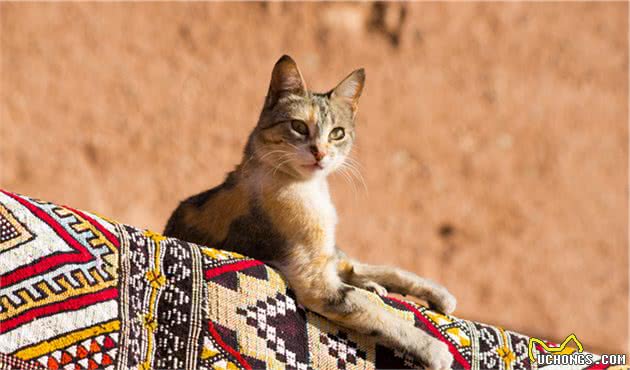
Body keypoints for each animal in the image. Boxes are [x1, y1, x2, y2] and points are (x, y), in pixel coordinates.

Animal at [165, 55, 456, 370]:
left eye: (337, 133)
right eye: (298, 127)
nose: (320, 153)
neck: (313, 191)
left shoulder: (331, 253)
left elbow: (389, 269)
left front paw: (440, 296)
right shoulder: (314, 280)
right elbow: (380, 315)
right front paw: (435, 349)